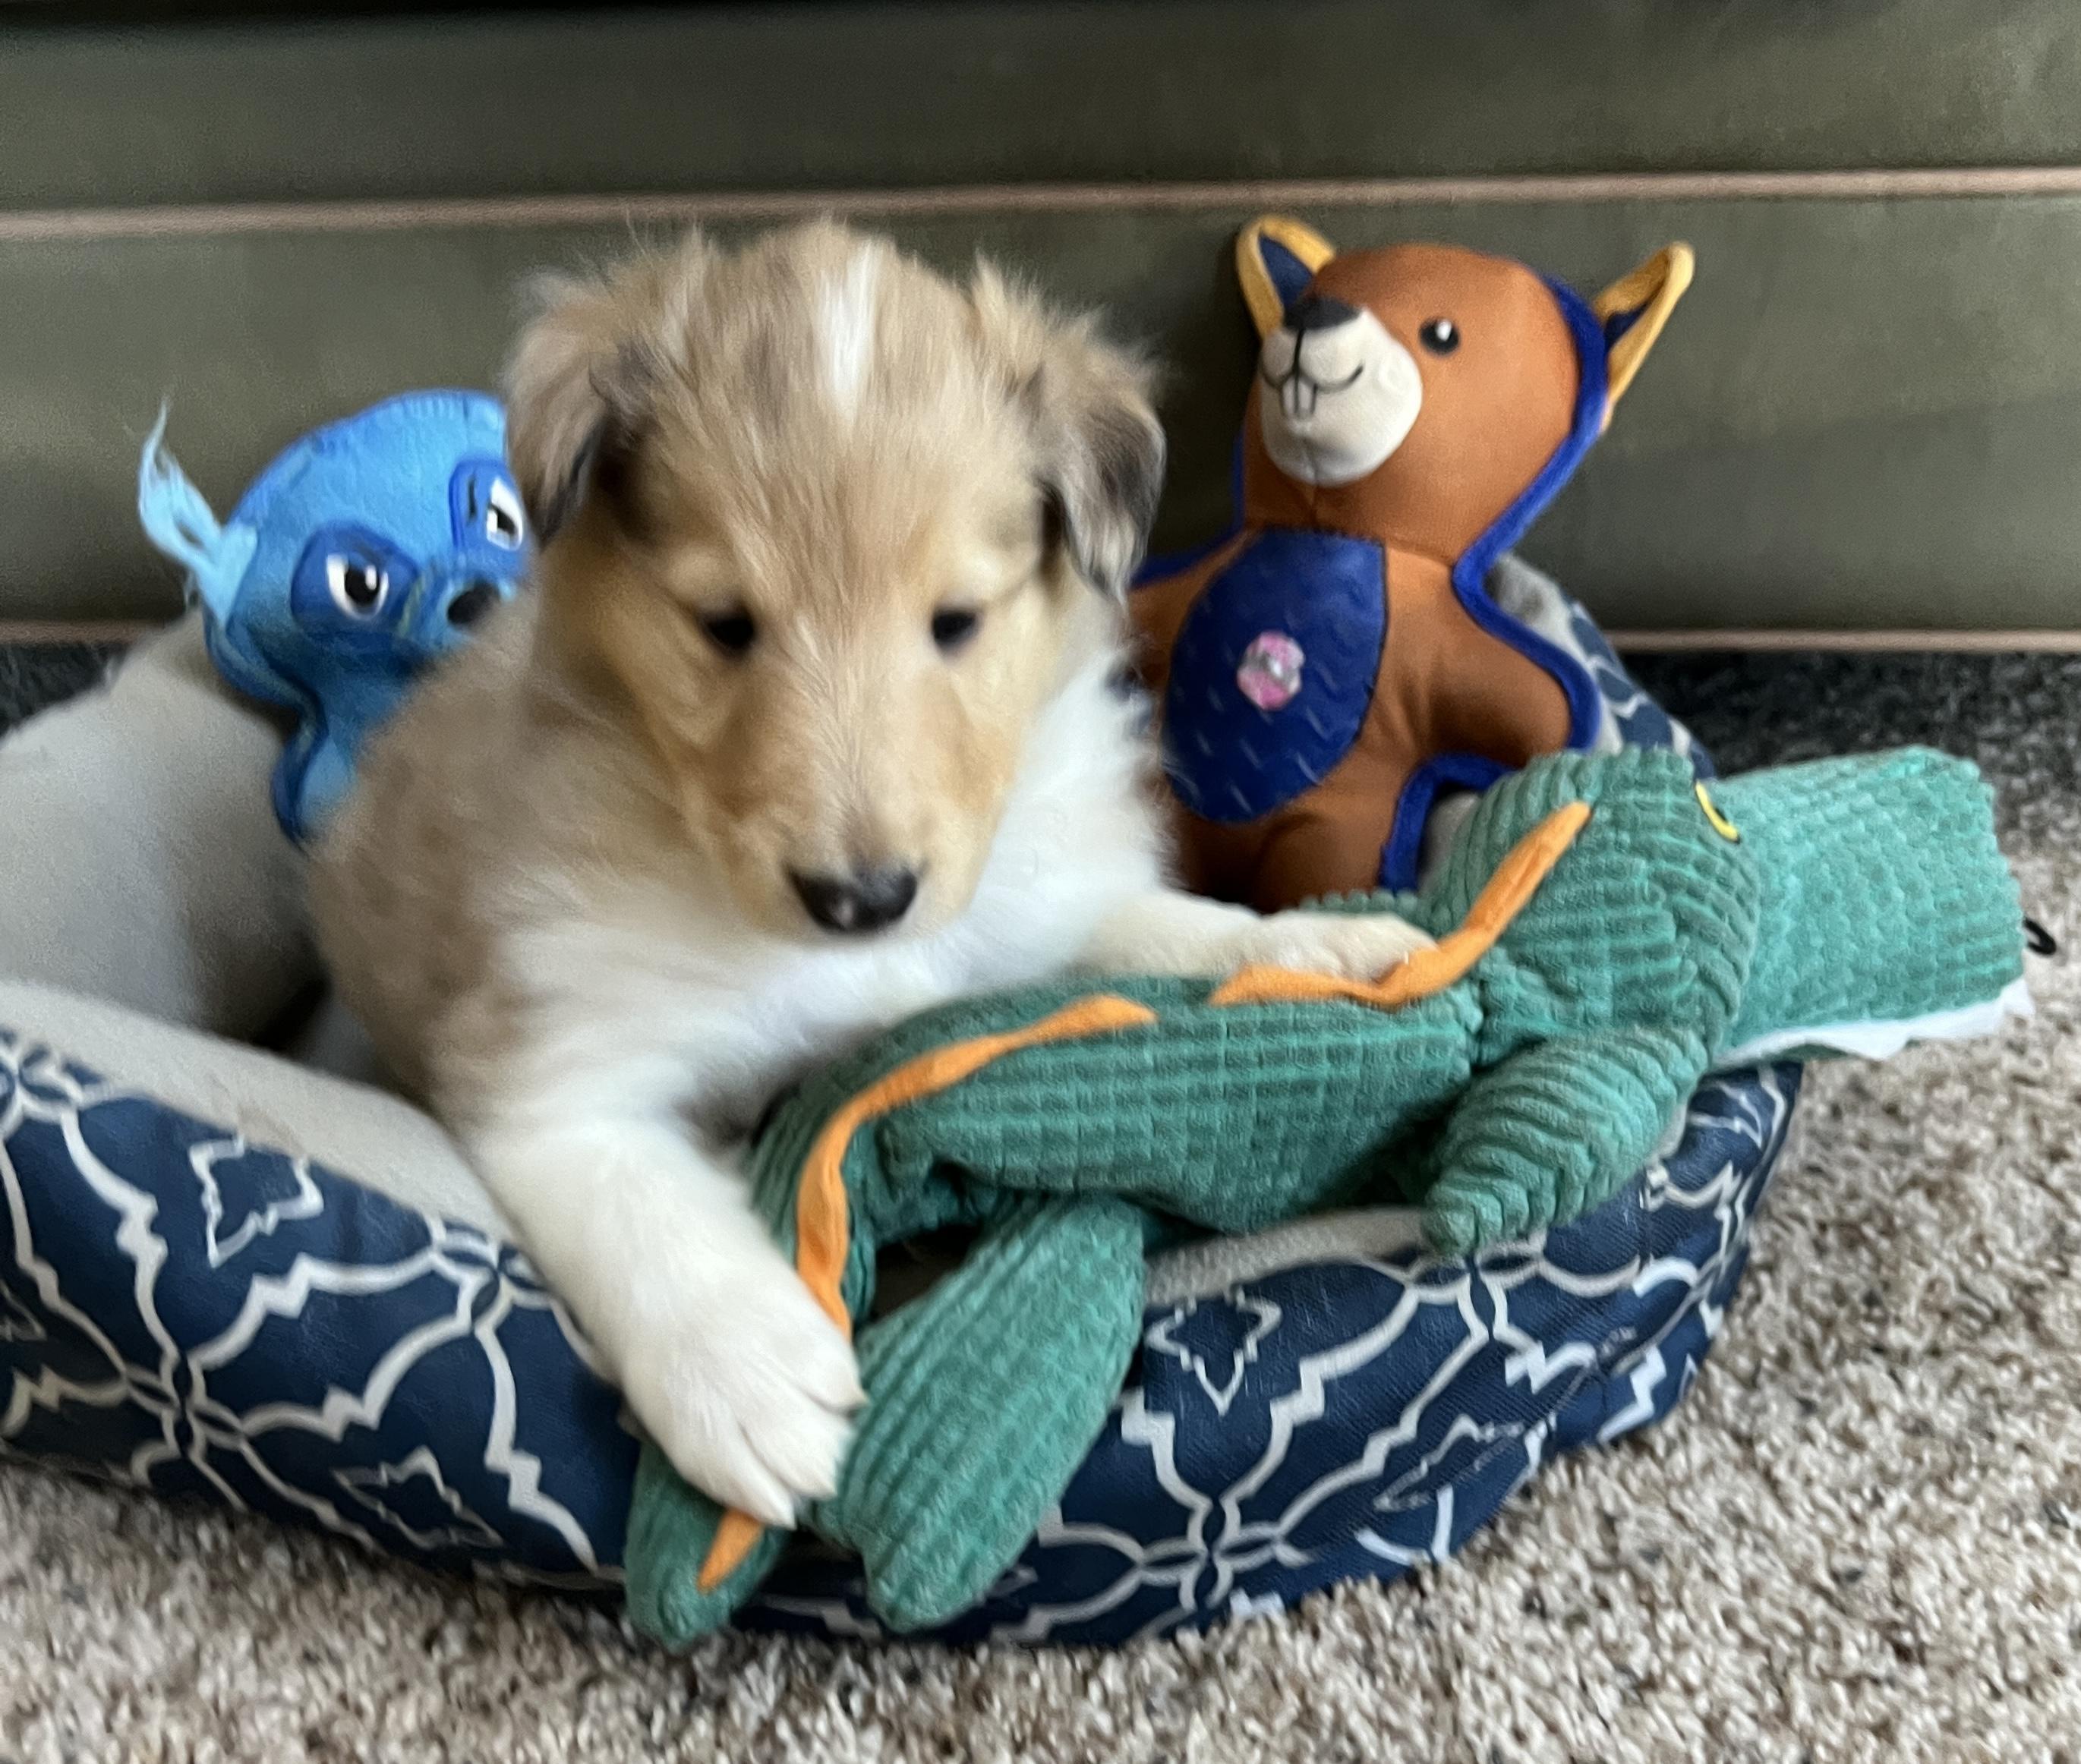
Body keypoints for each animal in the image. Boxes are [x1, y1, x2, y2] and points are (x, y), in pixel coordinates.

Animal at [309, 222, 1433, 1527]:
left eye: (957, 620)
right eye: (723, 624)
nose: (863, 901)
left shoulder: (1026, 917)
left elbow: (1166, 931)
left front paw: (1322, 947)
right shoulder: (553, 1069)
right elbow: (640, 1206)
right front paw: (749, 1377)